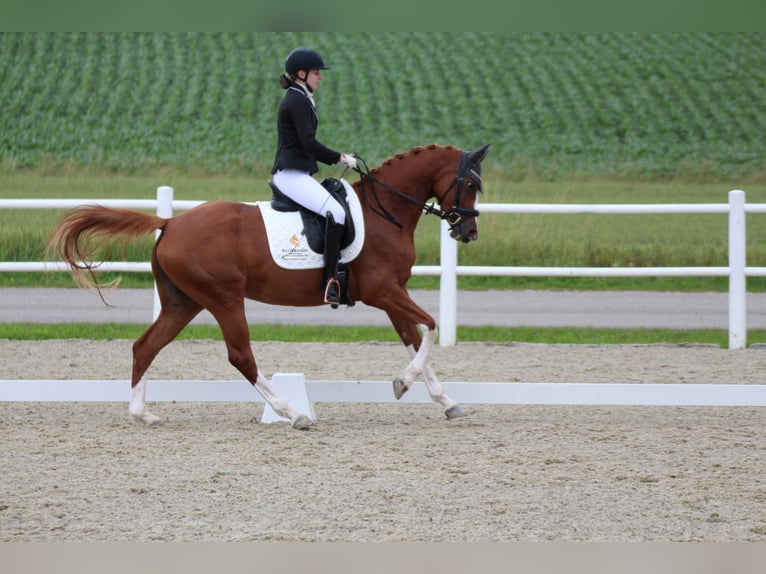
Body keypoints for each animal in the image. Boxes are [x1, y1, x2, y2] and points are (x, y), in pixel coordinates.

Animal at [49, 144, 492, 432]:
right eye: (471, 183)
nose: (468, 232)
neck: (386, 212)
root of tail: (170, 222)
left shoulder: (390, 295)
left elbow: (415, 339)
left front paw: (445, 402)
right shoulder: (384, 292)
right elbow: (430, 327)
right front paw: (405, 383)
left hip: (184, 302)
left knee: (146, 347)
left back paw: (142, 414)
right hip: (223, 298)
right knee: (240, 355)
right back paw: (293, 414)